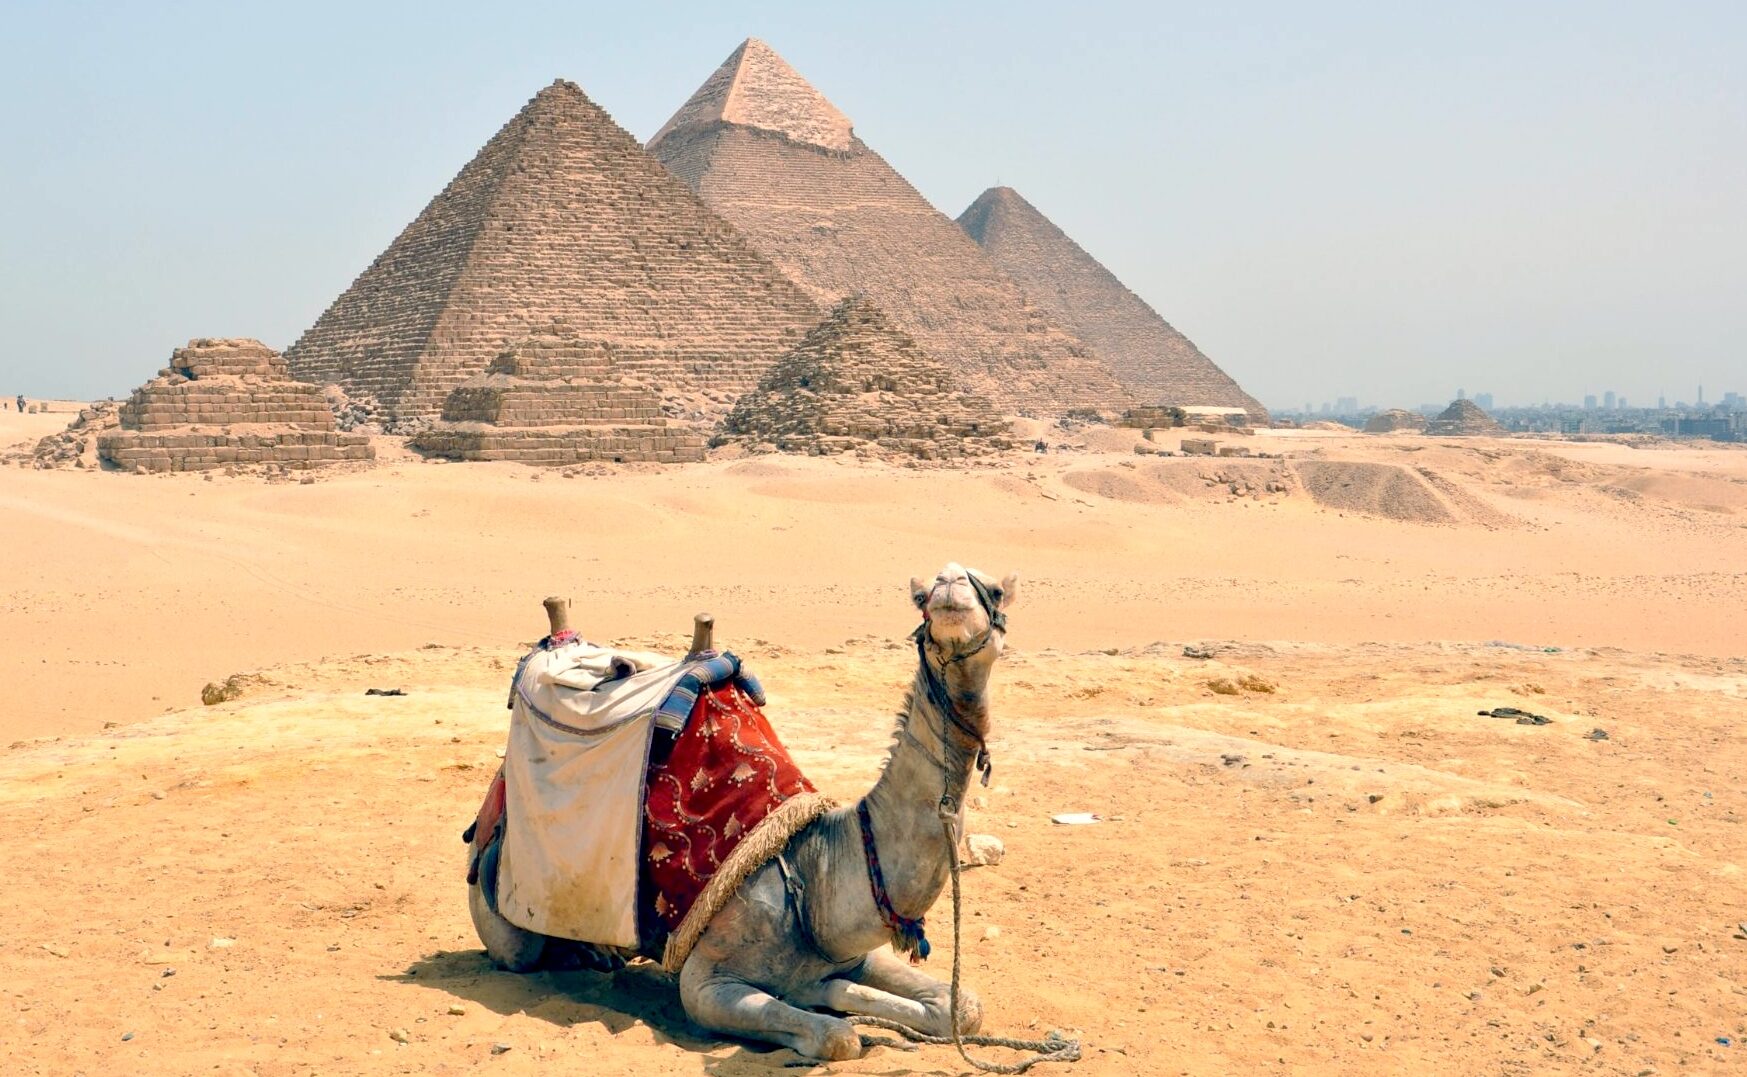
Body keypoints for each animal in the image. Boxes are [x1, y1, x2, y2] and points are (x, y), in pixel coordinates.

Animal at [468, 563, 1017, 1060]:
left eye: (995, 590)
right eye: (923, 596)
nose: (951, 583)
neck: (813, 875)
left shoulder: (849, 954)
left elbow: (962, 1007)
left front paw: (835, 994)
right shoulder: (705, 982)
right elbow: (838, 1038)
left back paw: (600, 951)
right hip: (503, 911)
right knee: (522, 950)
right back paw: (583, 952)